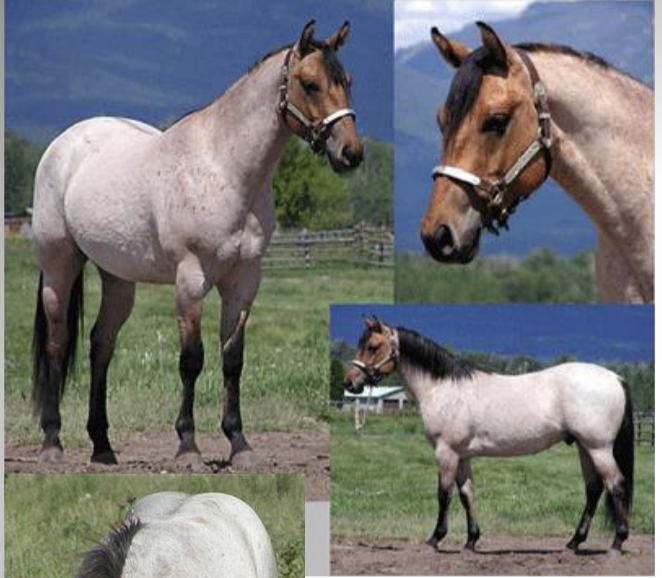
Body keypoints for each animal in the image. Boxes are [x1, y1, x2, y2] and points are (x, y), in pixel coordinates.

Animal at [30, 20, 363, 469]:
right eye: (309, 84)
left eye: (347, 81)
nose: (351, 152)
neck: (224, 168)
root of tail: (62, 146)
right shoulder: (191, 279)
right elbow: (192, 360)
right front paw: (188, 446)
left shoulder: (243, 281)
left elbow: (232, 359)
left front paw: (240, 445)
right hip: (59, 263)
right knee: (57, 342)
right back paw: (52, 443)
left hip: (117, 277)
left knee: (101, 344)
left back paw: (102, 447)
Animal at [344, 316, 634, 555]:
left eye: (372, 346)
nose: (349, 382)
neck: (444, 388)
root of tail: (616, 378)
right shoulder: (462, 456)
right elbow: (466, 494)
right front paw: (471, 541)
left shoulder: (446, 452)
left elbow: (444, 494)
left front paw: (435, 539)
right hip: (585, 447)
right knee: (594, 489)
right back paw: (574, 542)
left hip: (599, 448)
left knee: (617, 485)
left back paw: (616, 543)